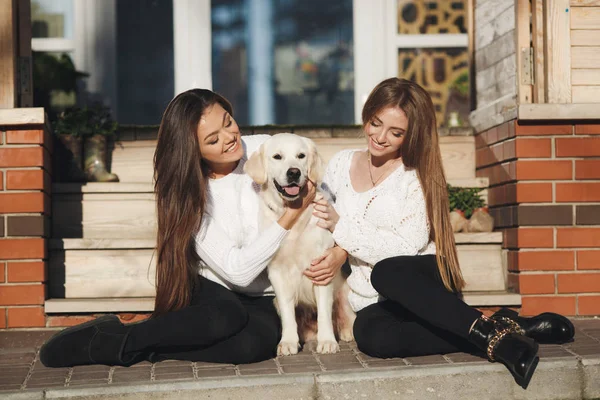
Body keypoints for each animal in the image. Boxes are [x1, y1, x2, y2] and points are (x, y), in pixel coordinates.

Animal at [245, 135, 356, 356]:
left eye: (301, 156)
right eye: (277, 157)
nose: (294, 172)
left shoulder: (321, 267)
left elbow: (324, 313)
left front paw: (327, 341)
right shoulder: (277, 273)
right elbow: (289, 314)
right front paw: (288, 342)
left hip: (344, 293)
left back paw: (346, 331)